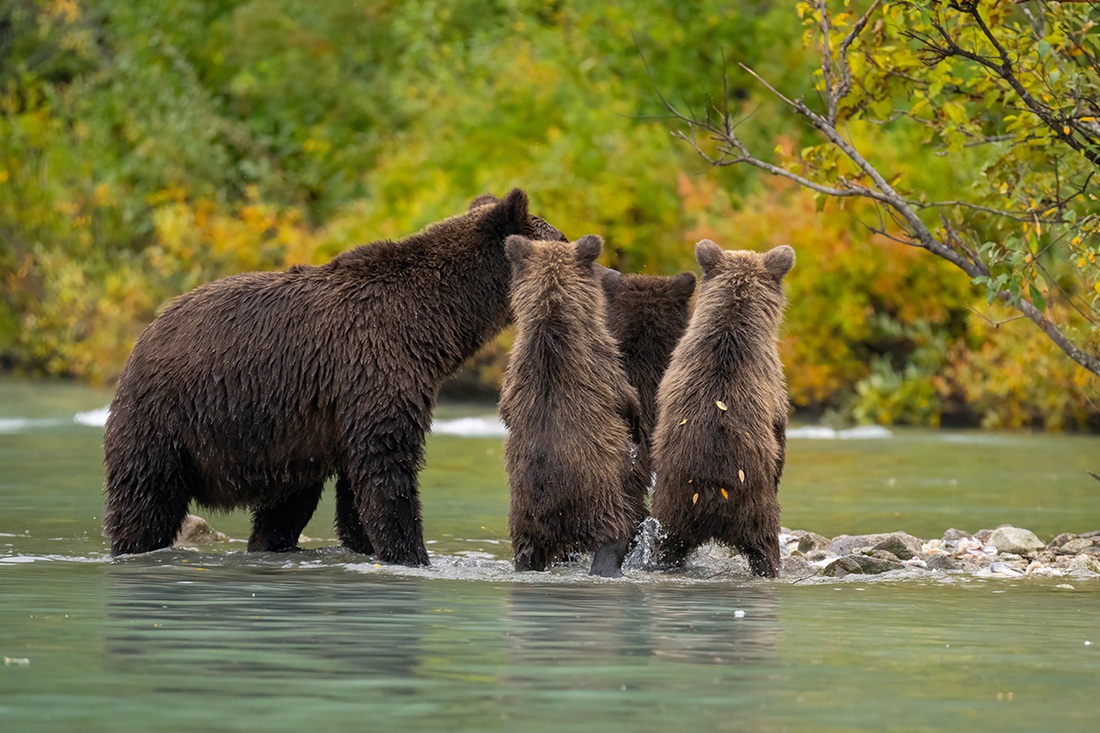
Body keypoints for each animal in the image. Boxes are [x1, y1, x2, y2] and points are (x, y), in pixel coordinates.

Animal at [101, 189, 567, 563]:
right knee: (145, 499)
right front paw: (413, 554)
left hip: (286, 441)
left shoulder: (347, 409)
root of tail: (147, 332)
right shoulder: (374, 368)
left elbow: (356, 498)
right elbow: (387, 473)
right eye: (561, 238)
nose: (579, 245)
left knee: (286, 506)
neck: (433, 327)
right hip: (168, 419)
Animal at [503, 234, 646, 576]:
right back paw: (610, 563)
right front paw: (636, 427)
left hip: (522, 514)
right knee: (614, 530)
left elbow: (506, 408)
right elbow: (624, 397)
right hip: (597, 493)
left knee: (525, 550)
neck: (551, 313)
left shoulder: (515, 367)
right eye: (598, 265)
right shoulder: (600, 354)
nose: (616, 272)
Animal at [646, 239, 796, 576]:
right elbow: (779, 438)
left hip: (671, 510)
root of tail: (713, 498)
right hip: (755, 508)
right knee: (765, 548)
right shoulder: (774, 387)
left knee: (668, 547)